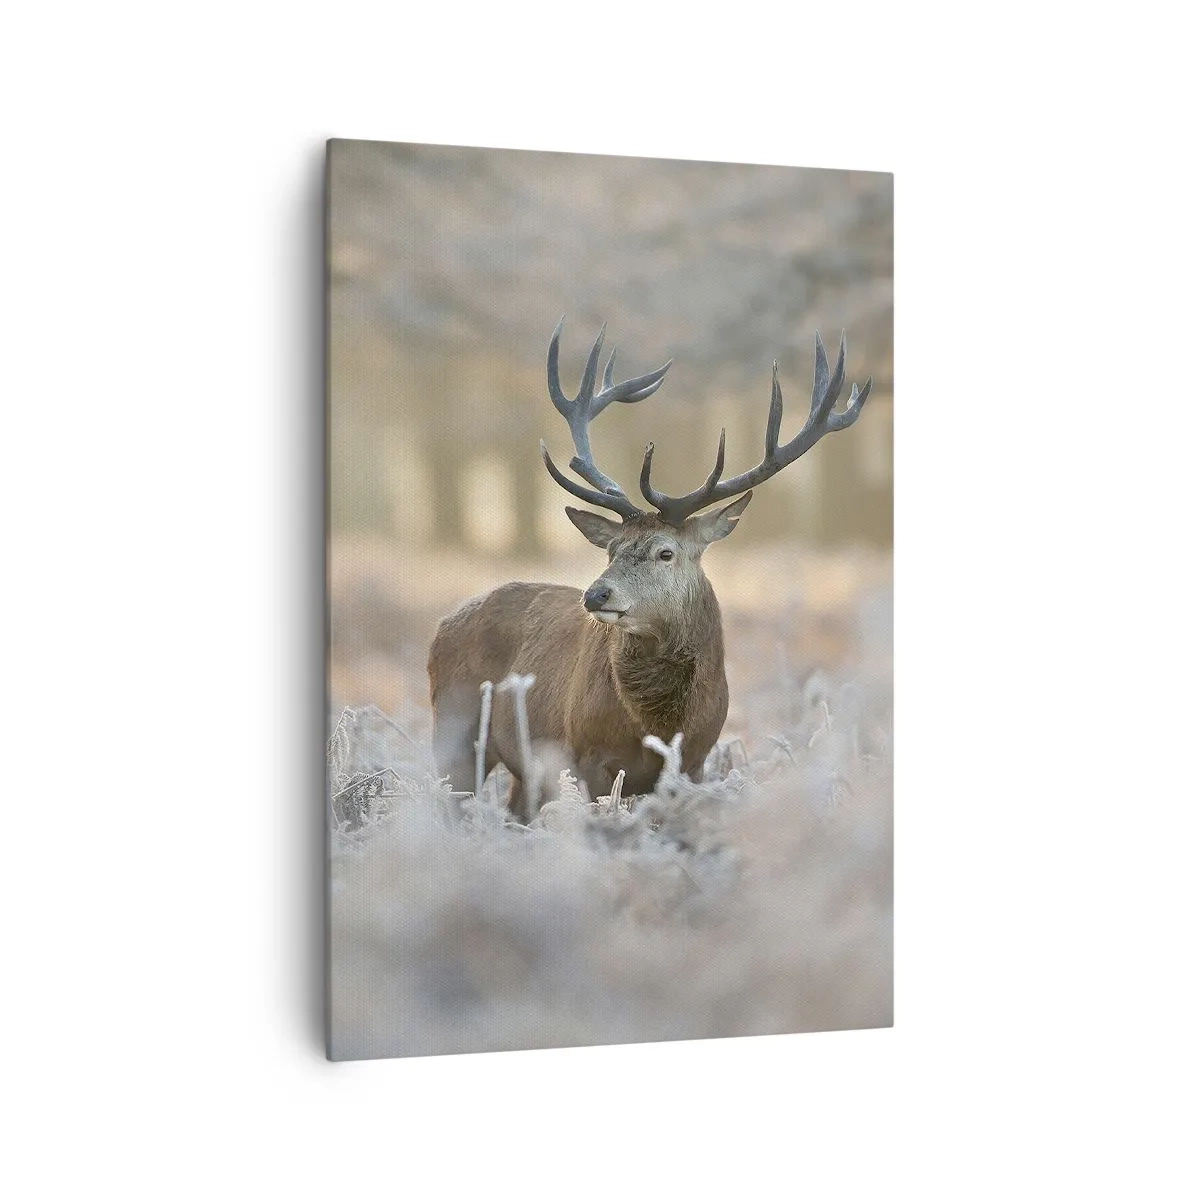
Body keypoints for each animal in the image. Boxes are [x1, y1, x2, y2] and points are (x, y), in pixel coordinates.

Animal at [428, 319, 873, 822]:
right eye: (611, 550)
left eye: (666, 553)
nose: (595, 595)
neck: (656, 724)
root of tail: (444, 624)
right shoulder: (586, 757)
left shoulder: (695, 762)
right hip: (455, 730)